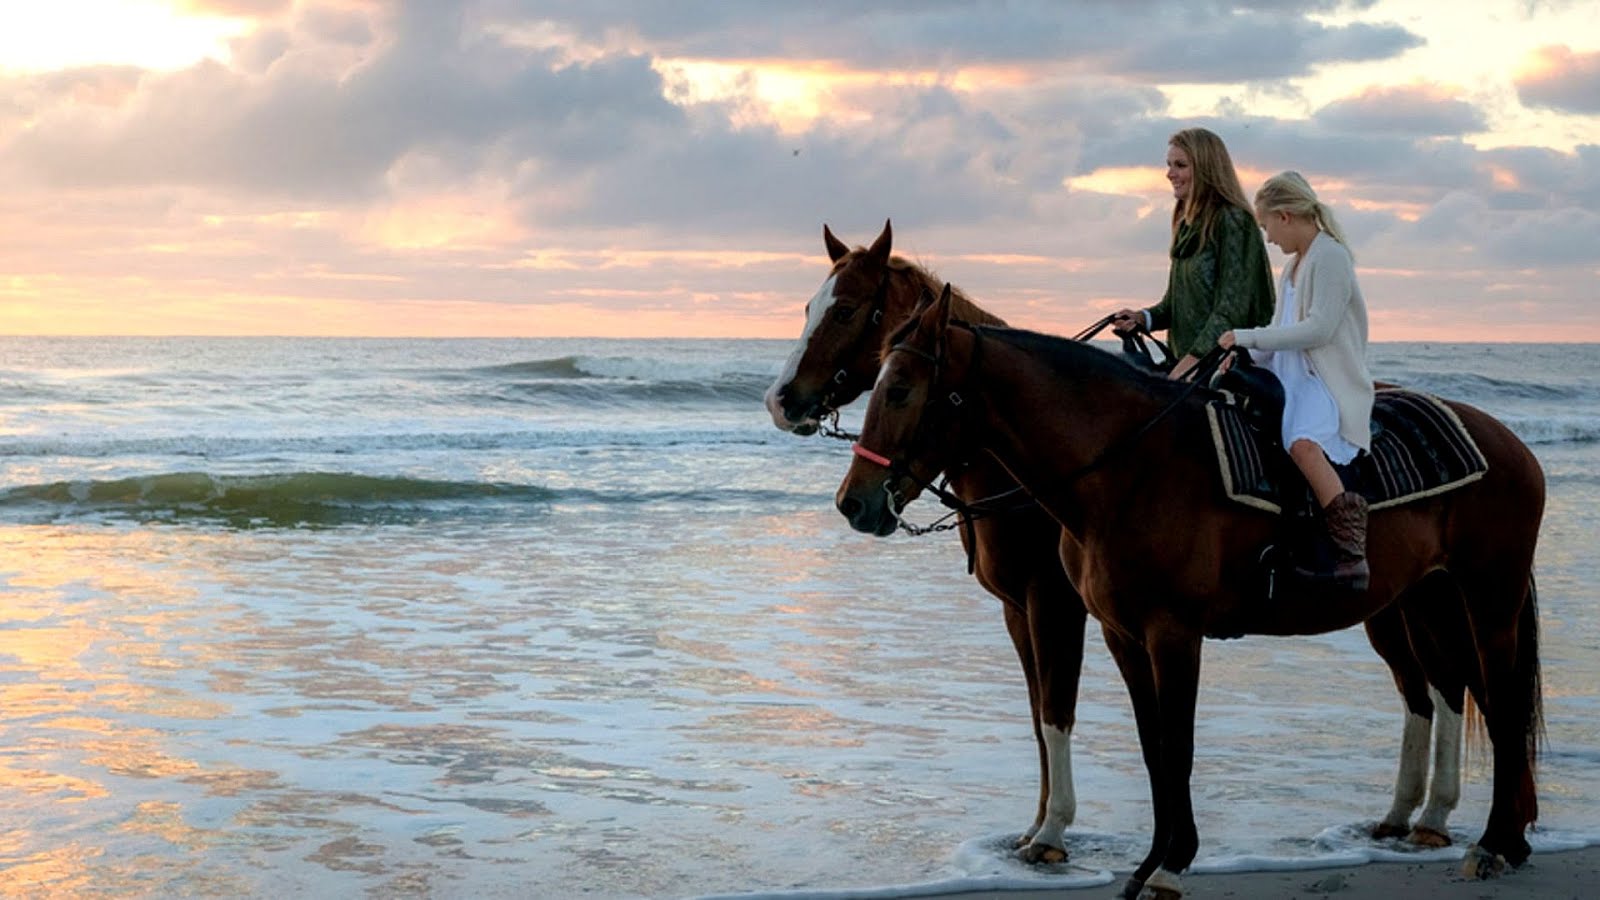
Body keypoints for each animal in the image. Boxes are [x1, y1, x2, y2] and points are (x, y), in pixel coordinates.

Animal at [764, 221, 1468, 862]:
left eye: (846, 309)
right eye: (808, 307)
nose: (781, 401)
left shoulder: (1055, 605)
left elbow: (1058, 710)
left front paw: (1053, 833)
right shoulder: (1020, 610)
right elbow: (1039, 713)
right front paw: (1037, 824)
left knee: (1444, 686)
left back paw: (1432, 817)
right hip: (1394, 605)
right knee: (1423, 691)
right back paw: (1406, 816)